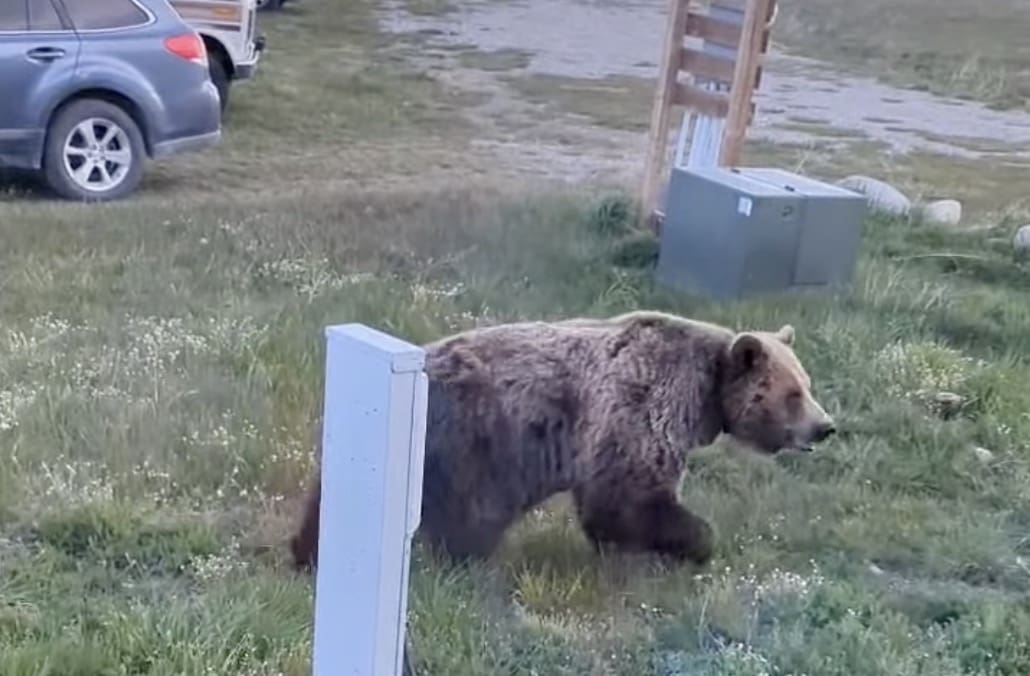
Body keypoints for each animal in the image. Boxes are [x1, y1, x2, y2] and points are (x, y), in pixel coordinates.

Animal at [289, 309, 836, 571]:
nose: (825, 426)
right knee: (469, 514)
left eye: (807, 384)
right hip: (475, 440)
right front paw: (694, 542)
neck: (706, 396)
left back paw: (306, 551)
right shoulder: (638, 409)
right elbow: (627, 497)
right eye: (792, 393)